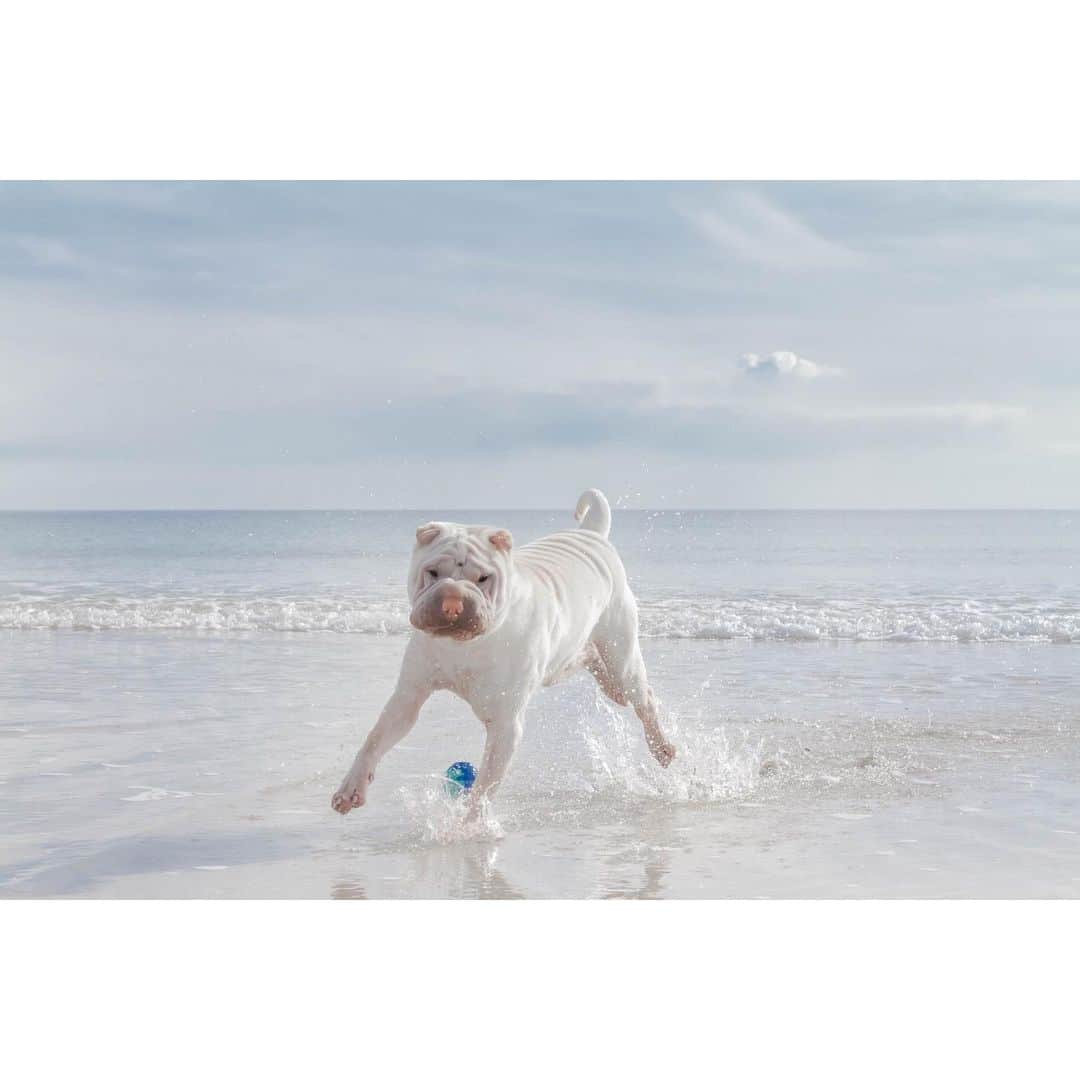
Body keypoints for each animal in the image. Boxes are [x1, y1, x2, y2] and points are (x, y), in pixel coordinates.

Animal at [330, 486, 673, 812]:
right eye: (433, 572)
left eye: (483, 578)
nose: (452, 600)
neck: (466, 646)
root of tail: (592, 534)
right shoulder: (408, 696)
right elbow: (376, 737)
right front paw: (351, 788)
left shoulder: (505, 725)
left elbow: (483, 788)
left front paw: (469, 824)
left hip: (621, 655)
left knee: (643, 697)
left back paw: (663, 747)